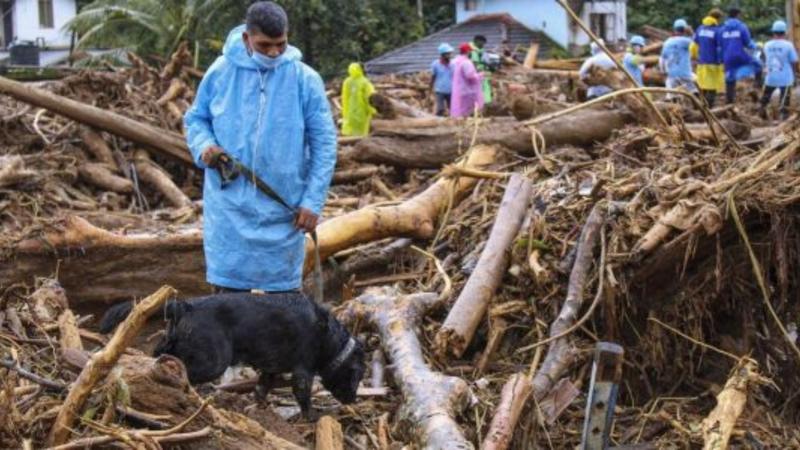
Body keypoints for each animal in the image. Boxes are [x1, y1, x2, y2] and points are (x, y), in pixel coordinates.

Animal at [98, 292, 368, 418]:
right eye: (356, 376)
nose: (353, 400)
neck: (329, 338)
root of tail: (186, 305)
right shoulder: (303, 370)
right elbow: (303, 395)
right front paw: (311, 417)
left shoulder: (270, 368)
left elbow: (261, 387)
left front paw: (259, 408)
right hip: (213, 361)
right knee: (183, 370)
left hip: (176, 341)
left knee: (160, 353)